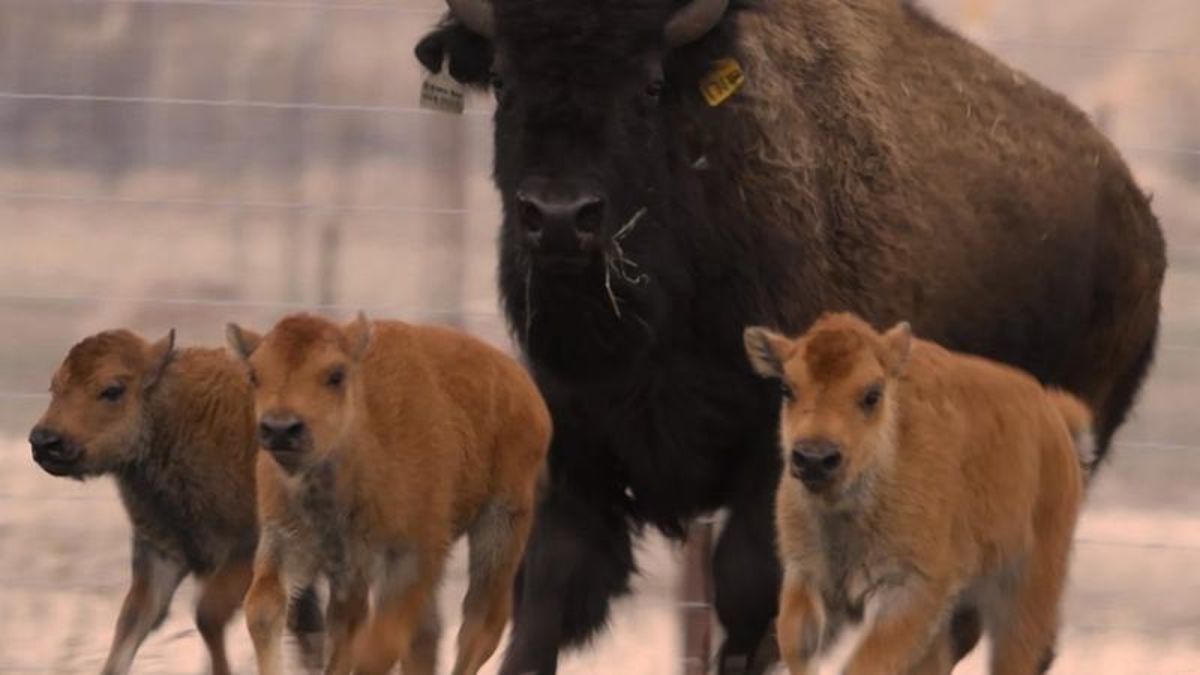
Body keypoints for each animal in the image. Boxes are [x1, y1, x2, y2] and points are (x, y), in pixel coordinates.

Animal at [415, 0, 1166, 673]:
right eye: (503, 80)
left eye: (651, 85)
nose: (560, 216)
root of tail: (1136, 215)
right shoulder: (577, 461)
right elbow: (543, 607)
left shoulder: (774, 474)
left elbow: (751, 613)